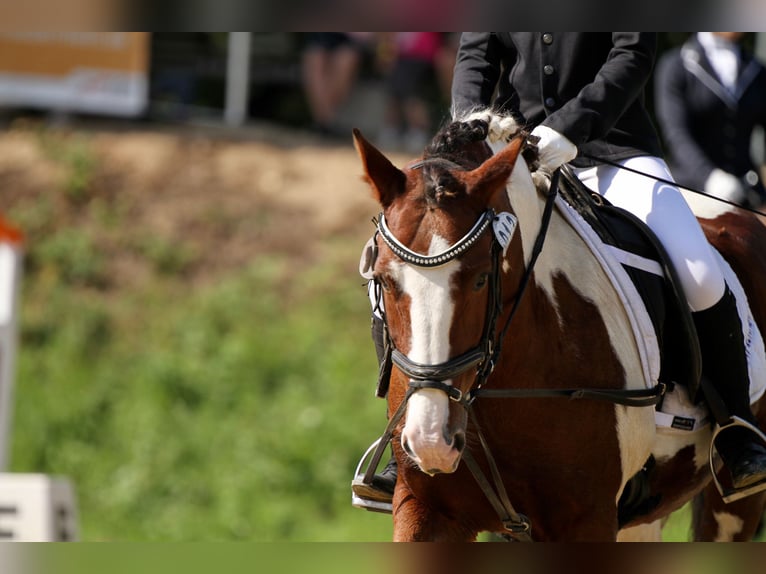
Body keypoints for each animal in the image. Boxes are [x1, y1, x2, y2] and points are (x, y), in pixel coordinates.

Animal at [354, 113, 766, 544]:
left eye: (482, 278)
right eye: (383, 280)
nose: (431, 440)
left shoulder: (587, 520)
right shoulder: (427, 509)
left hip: (730, 509)